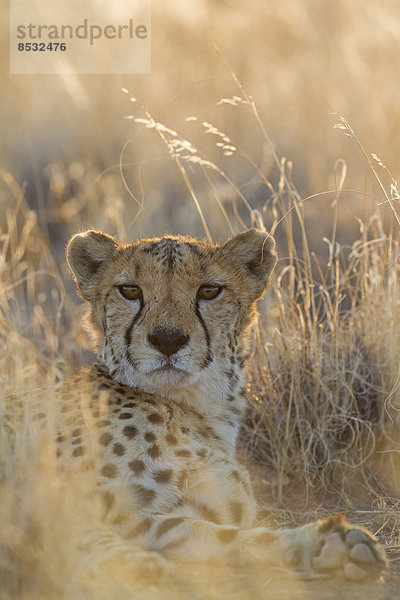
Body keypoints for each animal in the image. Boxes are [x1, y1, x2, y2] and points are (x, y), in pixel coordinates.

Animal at [61, 229, 386, 580]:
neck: (197, 407)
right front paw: (130, 565)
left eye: (209, 290)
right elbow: (75, 529)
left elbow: (211, 533)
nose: (167, 339)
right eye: (130, 290)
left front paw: (326, 547)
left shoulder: (178, 510)